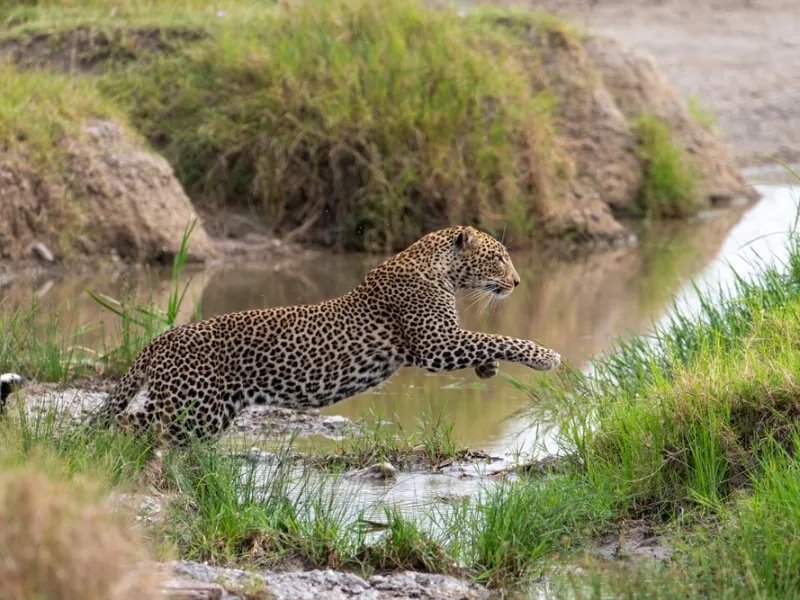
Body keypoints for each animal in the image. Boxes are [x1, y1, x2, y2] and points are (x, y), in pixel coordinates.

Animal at [88, 225, 561, 446]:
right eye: (499, 258)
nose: (517, 282)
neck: (436, 266)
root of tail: (161, 339)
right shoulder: (435, 344)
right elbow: (496, 337)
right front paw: (546, 356)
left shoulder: (443, 341)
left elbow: (486, 342)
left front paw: (489, 369)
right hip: (191, 405)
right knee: (127, 425)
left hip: (206, 413)